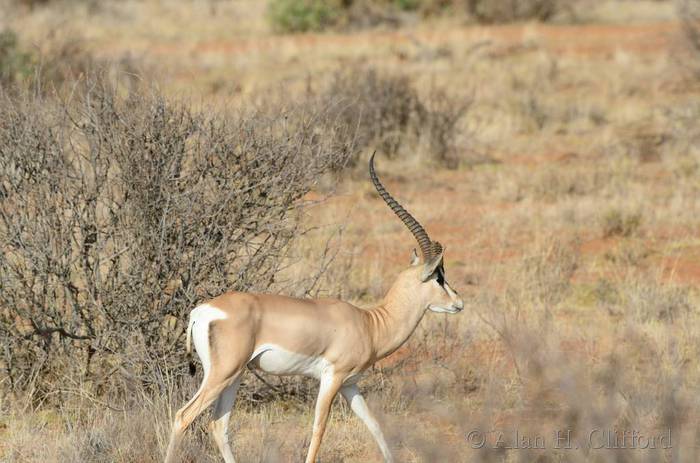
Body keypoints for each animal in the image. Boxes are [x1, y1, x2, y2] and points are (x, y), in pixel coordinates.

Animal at [164, 153, 463, 463]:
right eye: (439, 277)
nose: (458, 303)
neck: (370, 323)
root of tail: (201, 311)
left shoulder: (350, 384)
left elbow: (374, 425)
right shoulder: (332, 378)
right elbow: (319, 428)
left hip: (235, 375)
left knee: (218, 425)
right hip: (223, 374)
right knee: (183, 416)